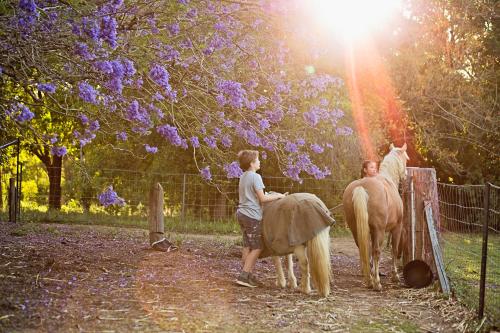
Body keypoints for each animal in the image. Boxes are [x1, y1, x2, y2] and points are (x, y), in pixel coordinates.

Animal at [344, 143, 410, 290]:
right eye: (407, 159)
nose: (406, 176)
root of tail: (361, 187)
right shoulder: (396, 228)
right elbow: (394, 250)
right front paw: (395, 276)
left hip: (356, 230)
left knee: (364, 249)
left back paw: (368, 279)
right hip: (379, 231)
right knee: (376, 251)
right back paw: (377, 283)